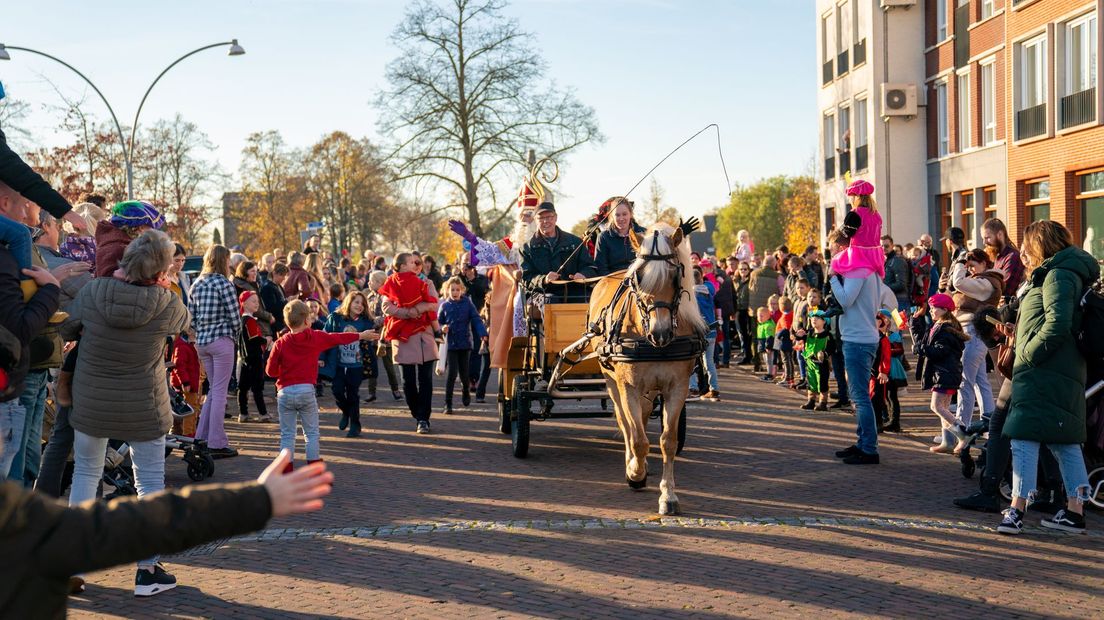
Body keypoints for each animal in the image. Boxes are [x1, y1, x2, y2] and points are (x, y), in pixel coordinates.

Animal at [587, 220, 706, 511]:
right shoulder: (628, 385)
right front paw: (635, 473)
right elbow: (638, 438)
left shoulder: (677, 387)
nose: (660, 333)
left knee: (641, 415)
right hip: (612, 381)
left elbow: (668, 440)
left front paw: (668, 496)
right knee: (625, 421)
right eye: (638, 276)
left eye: (675, 275)